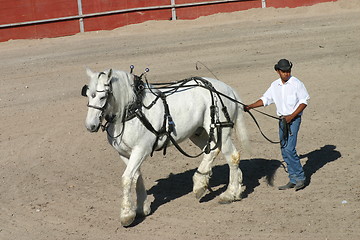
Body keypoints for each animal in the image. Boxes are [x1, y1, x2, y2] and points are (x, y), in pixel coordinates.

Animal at [82, 68, 249, 227]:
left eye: (102, 97)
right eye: (88, 95)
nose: (90, 125)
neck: (133, 110)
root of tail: (228, 89)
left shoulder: (141, 150)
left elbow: (127, 178)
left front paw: (126, 215)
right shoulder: (124, 153)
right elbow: (136, 177)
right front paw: (142, 208)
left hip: (222, 130)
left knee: (232, 156)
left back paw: (229, 193)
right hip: (199, 132)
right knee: (213, 150)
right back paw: (207, 185)